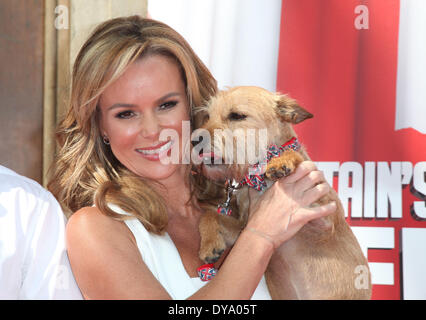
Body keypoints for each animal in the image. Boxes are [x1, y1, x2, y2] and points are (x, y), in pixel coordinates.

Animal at [195, 86, 372, 298]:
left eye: (236, 115)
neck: (258, 178)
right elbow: (209, 215)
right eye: (207, 116)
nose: (195, 139)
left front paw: (281, 160)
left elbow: (291, 151)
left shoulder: (323, 216)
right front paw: (208, 244)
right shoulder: (243, 229)